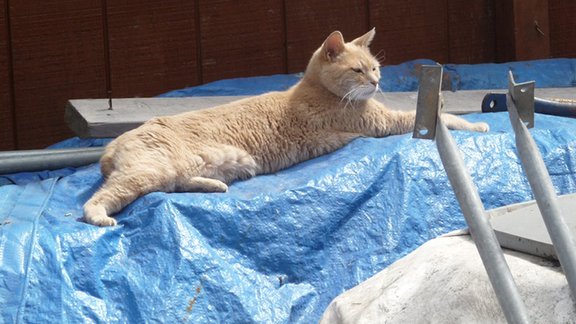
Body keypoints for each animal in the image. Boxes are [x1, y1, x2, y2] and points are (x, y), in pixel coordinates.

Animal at [83, 29, 488, 228]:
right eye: (359, 70)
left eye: (375, 68)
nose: (375, 83)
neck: (318, 89)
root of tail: (111, 146)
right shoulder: (385, 123)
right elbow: (447, 118)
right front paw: (478, 123)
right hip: (147, 171)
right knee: (99, 199)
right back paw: (99, 217)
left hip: (183, 170)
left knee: (174, 185)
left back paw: (214, 185)